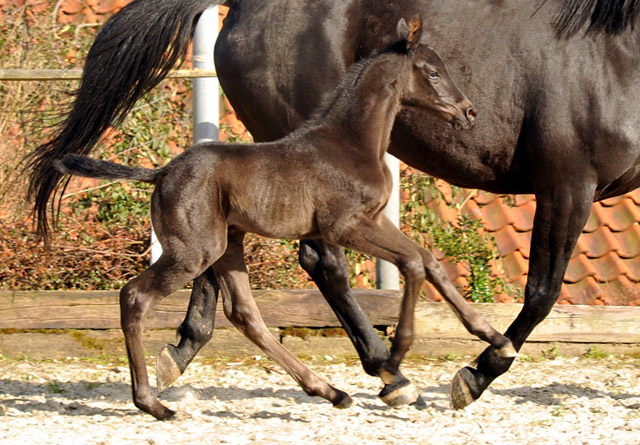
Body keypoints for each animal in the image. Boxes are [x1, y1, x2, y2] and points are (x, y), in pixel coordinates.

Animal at [25, 0, 640, 410]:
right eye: (432, 70)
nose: (469, 112)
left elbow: (428, 262)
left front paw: (483, 339)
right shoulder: (566, 183)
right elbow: (530, 288)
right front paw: (466, 368)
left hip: (223, 240)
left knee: (239, 305)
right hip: (236, 207)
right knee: (283, 272)